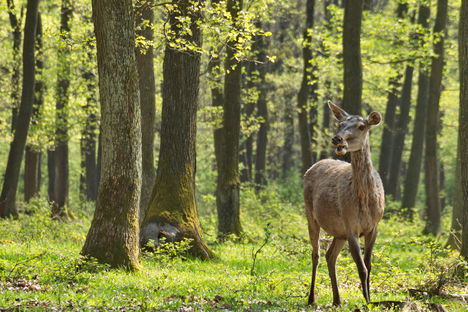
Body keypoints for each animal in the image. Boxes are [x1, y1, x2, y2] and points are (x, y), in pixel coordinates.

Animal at [304, 101, 384, 306]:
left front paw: (369, 299)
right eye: (340, 124)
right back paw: (312, 298)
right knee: (316, 254)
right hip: (311, 215)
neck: (365, 202)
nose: (337, 139)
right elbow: (361, 267)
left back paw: (337, 299)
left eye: (362, 126)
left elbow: (369, 265)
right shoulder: (351, 227)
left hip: (338, 231)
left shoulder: (374, 227)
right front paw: (366, 301)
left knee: (330, 255)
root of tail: (313, 166)